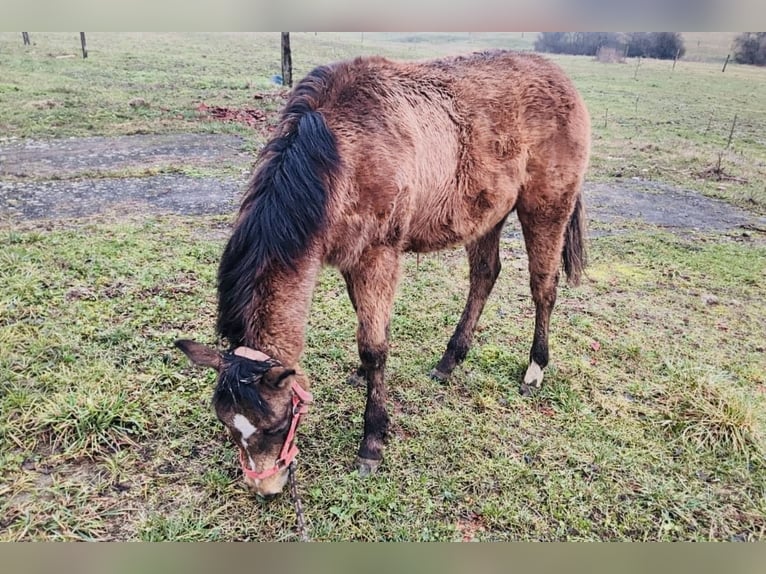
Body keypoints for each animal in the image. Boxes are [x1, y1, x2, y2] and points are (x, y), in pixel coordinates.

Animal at [176, 49, 590, 497]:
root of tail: (563, 79)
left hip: (546, 207)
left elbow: (373, 346)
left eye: (277, 423)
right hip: (488, 213)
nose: (267, 488)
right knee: (485, 275)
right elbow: (367, 327)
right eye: (227, 426)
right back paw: (450, 360)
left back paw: (535, 369)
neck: (338, 154)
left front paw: (372, 441)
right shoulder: (350, 257)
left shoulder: (378, 255)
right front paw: (364, 380)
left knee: (543, 287)